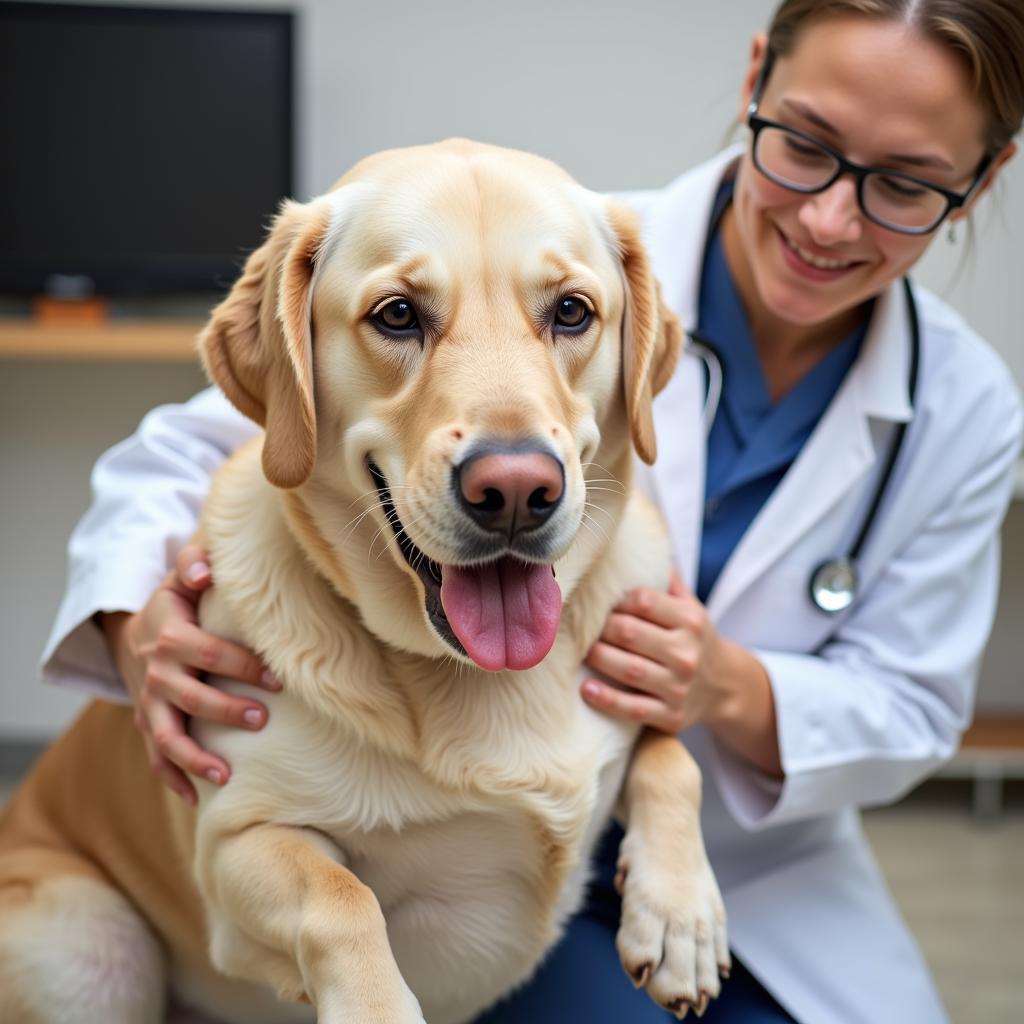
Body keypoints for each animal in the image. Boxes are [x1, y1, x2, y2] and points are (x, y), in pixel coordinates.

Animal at [0, 138, 729, 1024]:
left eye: (571, 312)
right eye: (398, 315)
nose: (517, 490)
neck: (480, 679)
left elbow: (673, 756)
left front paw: (682, 916)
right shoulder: (238, 840)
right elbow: (342, 899)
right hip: (92, 944)